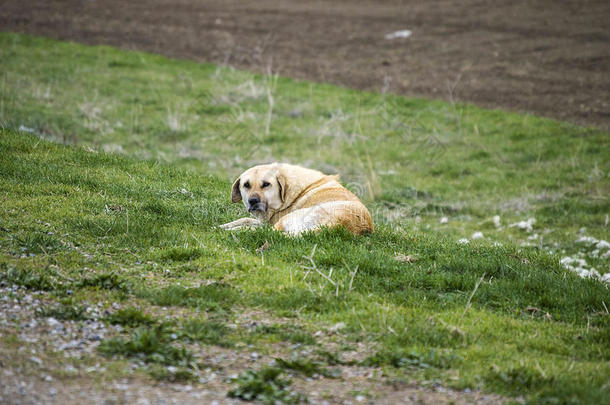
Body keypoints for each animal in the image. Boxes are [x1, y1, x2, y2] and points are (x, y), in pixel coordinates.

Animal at [218, 163, 370, 235]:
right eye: (246, 185)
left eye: (266, 184)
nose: (253, 201)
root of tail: (338, 226)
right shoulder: (265, 221)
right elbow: (244, 219)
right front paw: (220, 226)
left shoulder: (271, 222)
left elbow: (249, 223)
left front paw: (224, 229)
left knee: (267, 233)